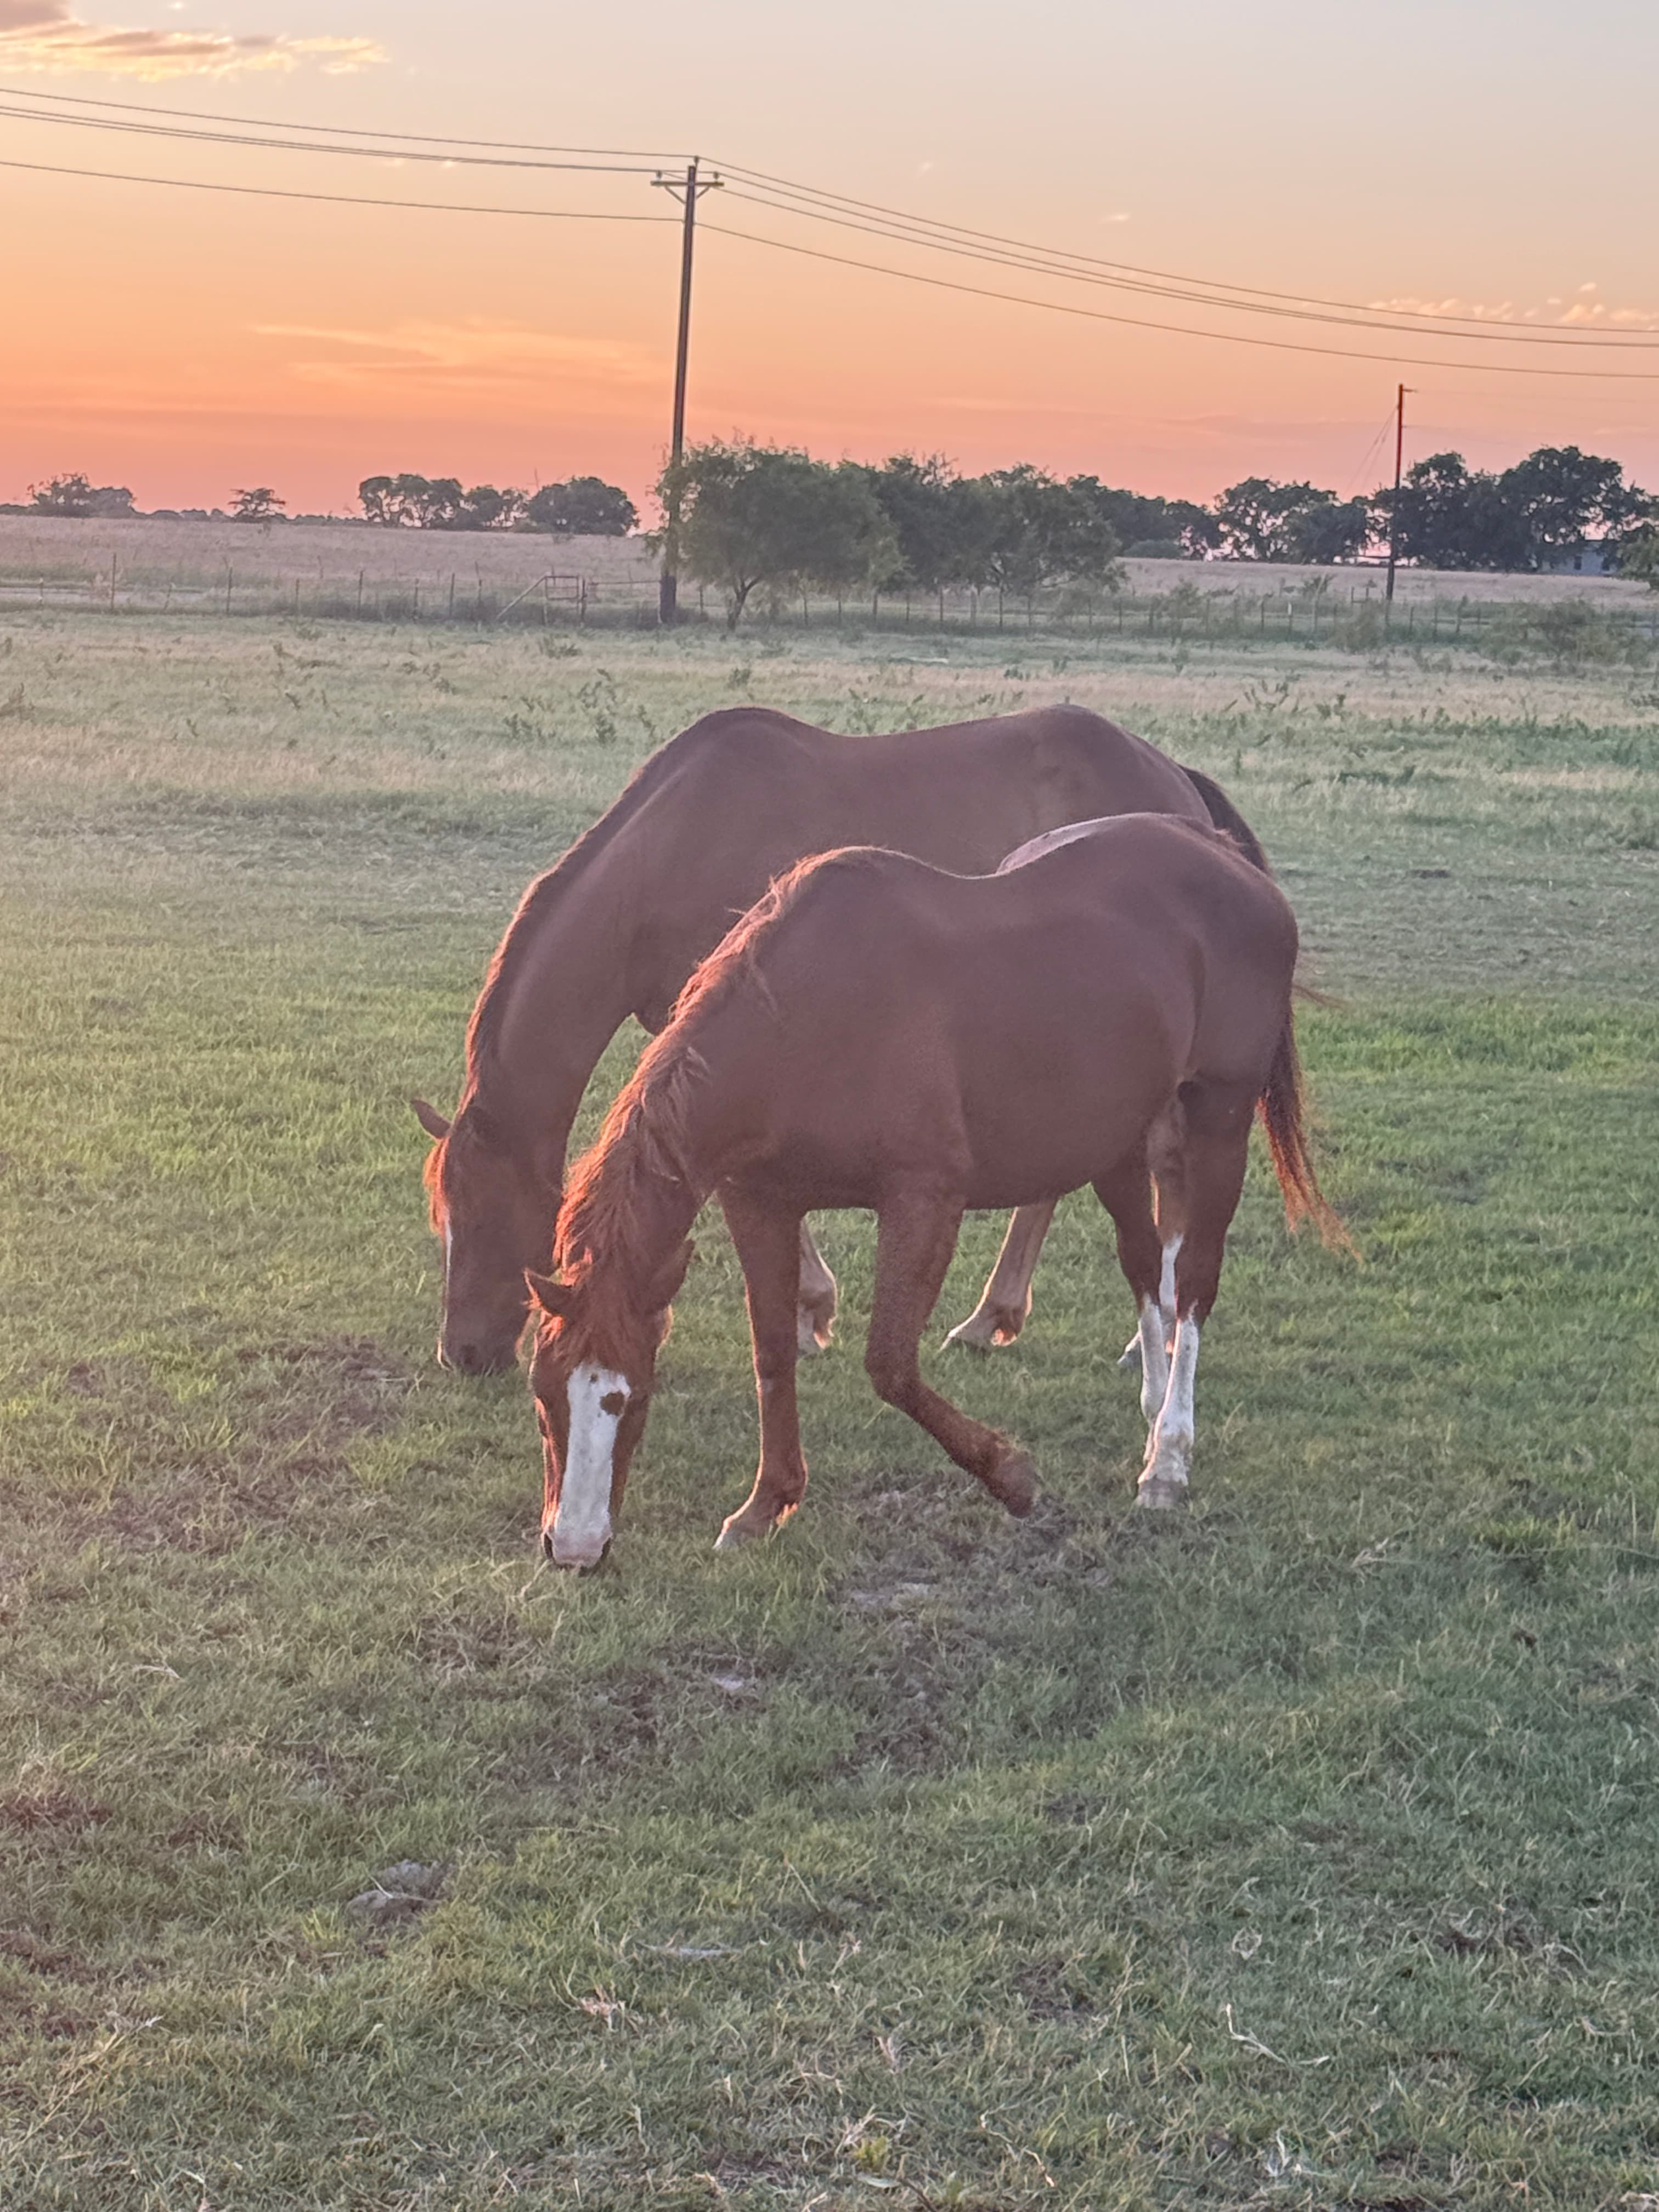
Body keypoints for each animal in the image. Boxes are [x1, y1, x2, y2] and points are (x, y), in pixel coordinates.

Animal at [524, 812, 1343, 1570]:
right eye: (542, 1393)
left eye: (629, 1397)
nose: (573, 1547)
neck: (805, 1019)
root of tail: (1222, 854)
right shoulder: (758, 1203)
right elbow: (772, 1353)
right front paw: (766, 1504)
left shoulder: (924, 1204)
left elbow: (890, 1365)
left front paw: (1011, 1476)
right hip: (1122, 1136)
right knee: (1148, 1269)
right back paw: (1150, 1410)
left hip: (1218, 1119)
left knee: (1195, 1281)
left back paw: (1168, 1456)